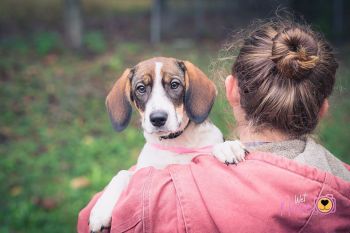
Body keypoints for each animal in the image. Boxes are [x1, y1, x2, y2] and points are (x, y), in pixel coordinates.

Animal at [89, 57, 245, 232]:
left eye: (174, 84)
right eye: (141, 88)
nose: (157, 118)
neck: (173, 142)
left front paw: (228, 147)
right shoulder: (143, 171)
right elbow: (122, 174)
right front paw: (100, 211)